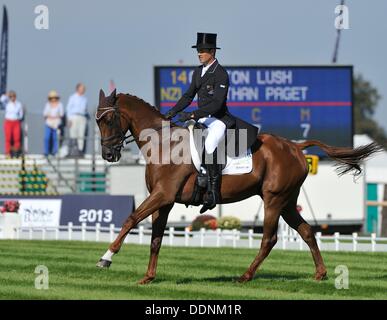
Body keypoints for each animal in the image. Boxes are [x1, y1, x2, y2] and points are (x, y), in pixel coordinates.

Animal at [94, 89, 382, 284]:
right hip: (288, 202)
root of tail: (295, 146)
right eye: (97, 121)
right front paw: (148, 277)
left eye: (108, 120)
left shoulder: (162, 195)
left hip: (273, 199)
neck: (164, 143)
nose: (108, 155)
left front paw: (106, 258)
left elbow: (131, 219)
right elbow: (155, 239)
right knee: (307, 232)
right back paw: (320, 274)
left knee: (269, 238)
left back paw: (245, 275)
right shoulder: (164, 201)